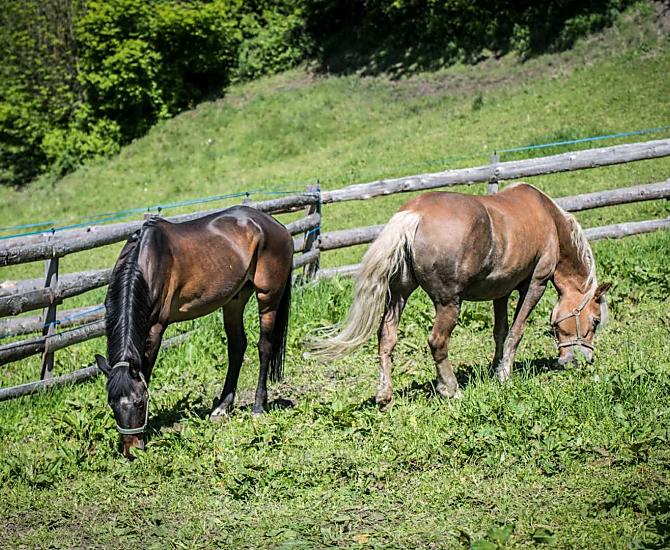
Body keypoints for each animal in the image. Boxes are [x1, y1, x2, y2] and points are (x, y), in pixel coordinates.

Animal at [94, 206, 293, 458]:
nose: (132, 451)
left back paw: (258, 407)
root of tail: (276, 225)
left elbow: (147, 371)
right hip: (234, 300)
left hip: (268, 297)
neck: (147, 262)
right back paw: (221, 408)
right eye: (112, 404)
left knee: (264, 347)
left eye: (140, 402)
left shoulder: (156, 329)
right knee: (237, 347)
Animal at [310, 183, 610, 408]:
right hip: (448, 303)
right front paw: (505, 375)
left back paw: (385, 396)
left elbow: (500, 332)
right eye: (595, 320)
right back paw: (451, 389)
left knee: (386, 338)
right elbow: (517, 331)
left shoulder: (501, 292)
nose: (584, 360)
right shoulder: (535, 284)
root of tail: (413, 214)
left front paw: (494, 369)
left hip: (399, 295)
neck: (549, 219)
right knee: (437, 342)